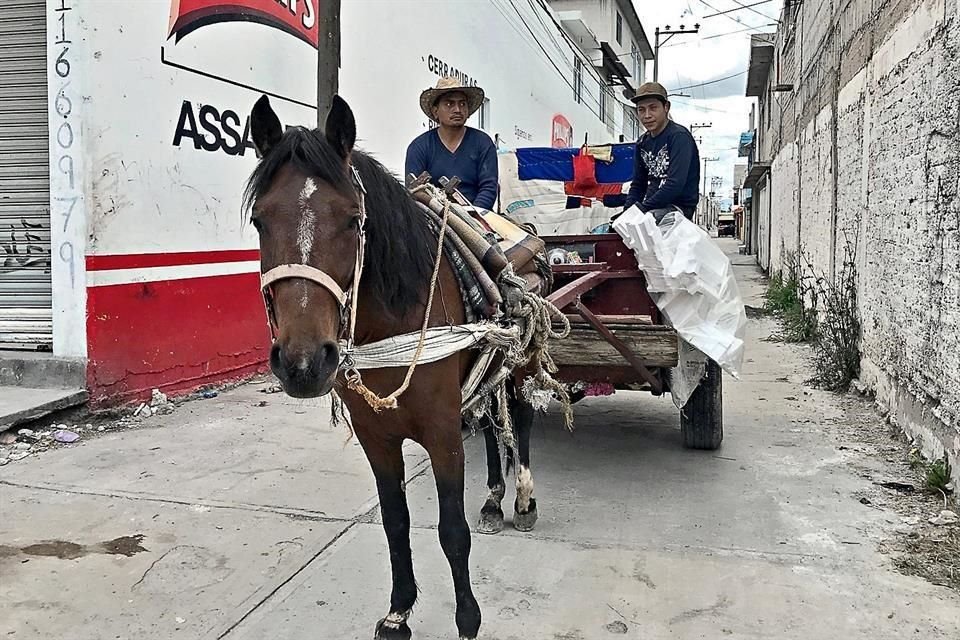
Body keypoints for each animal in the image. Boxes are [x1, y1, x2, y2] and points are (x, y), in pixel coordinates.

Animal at [246, 95, 540, 640]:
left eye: (351, 219)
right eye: (260, 220)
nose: (302, 363)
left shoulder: (443, 432)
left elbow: (452, 531)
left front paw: (467, 619)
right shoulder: (375, 436)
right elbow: (394, 521)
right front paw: (398, 611)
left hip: (522, 365)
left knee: (522, 422)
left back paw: (524, 501)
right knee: (492, 423)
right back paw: (493, 499)